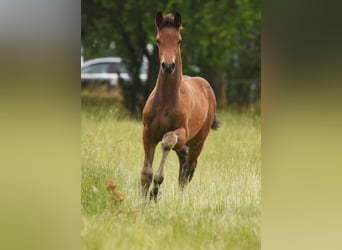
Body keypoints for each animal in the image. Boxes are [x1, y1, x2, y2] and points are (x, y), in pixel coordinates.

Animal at [141, 11, 219, 200]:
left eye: (179, 40)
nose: (168, 66)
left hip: (199, 140)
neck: (165, 102)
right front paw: (144, 198)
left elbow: (167, 140)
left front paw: (155, 190)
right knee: (184, 160)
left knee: (189, 167)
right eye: (158, 40)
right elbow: (146, 172)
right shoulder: (147, 132)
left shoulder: (181, 133)